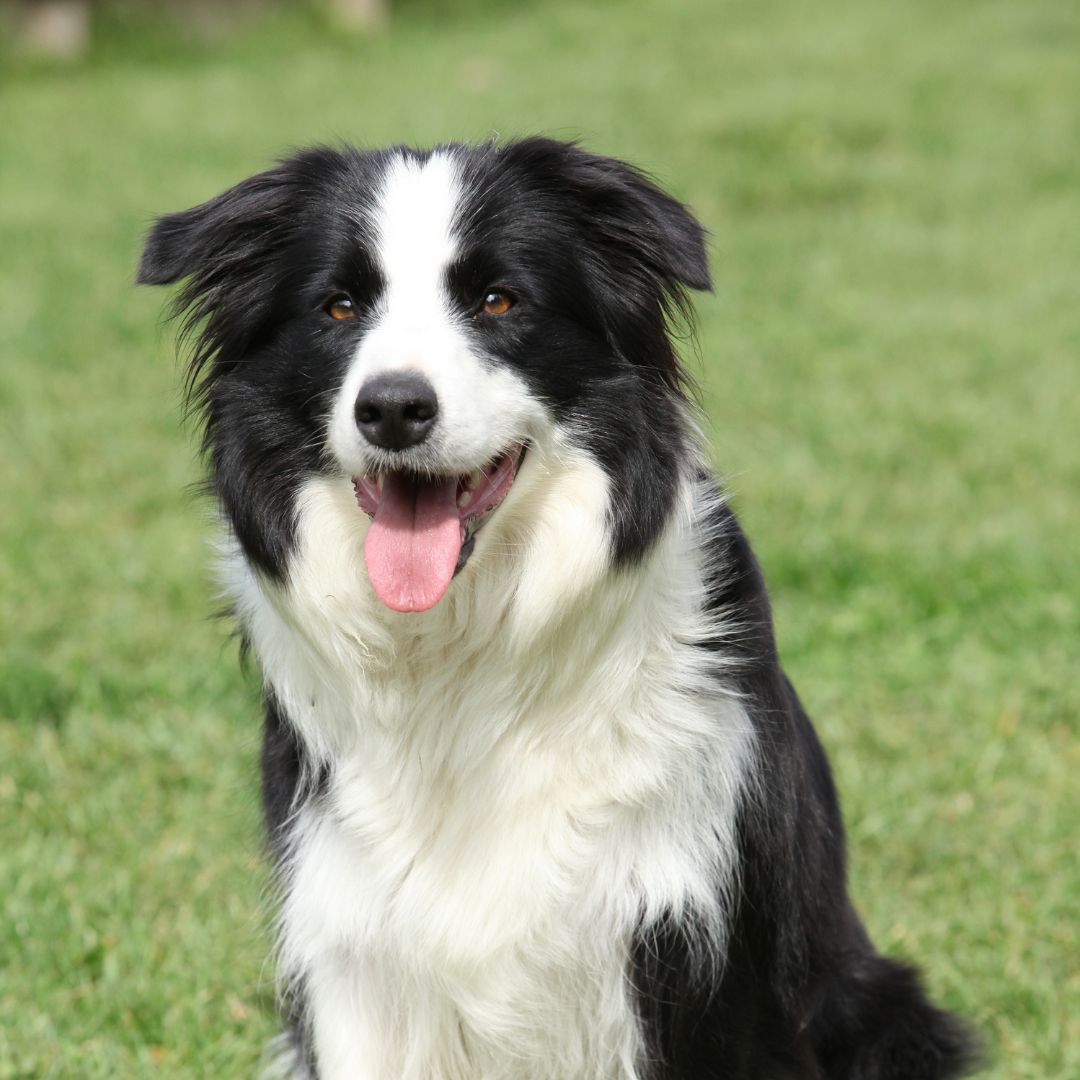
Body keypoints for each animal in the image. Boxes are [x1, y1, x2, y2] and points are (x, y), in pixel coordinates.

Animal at [137, 139, 980, 1075]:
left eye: (499, 300)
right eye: (339, 306)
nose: (392, 408)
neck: (464, 647)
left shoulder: (704, 947)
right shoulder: (354, 944)